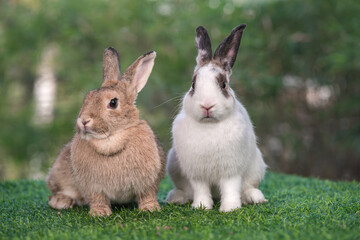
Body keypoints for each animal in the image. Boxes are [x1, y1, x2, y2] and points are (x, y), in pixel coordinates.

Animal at [45, 47, 167, 217]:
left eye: (113, 103)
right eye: (87, 97)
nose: (84, 121)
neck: (110, 139)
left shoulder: (148, 182)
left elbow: (147, 195)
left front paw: (150, 208)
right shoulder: (93, 186)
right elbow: (98, 198)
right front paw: (100, 213)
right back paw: (62, 202)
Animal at [166, 24, 268, 212]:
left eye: (223, 85)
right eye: (193, 85)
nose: (207, 105)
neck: (209, 125)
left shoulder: (231, 170)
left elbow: (230, 188)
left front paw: (230, 209)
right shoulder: (197, 173)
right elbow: (200, 189)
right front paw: (201, 207)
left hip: (256, 166)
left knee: (248, 186)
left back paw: (254, 197)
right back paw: (176, 198)